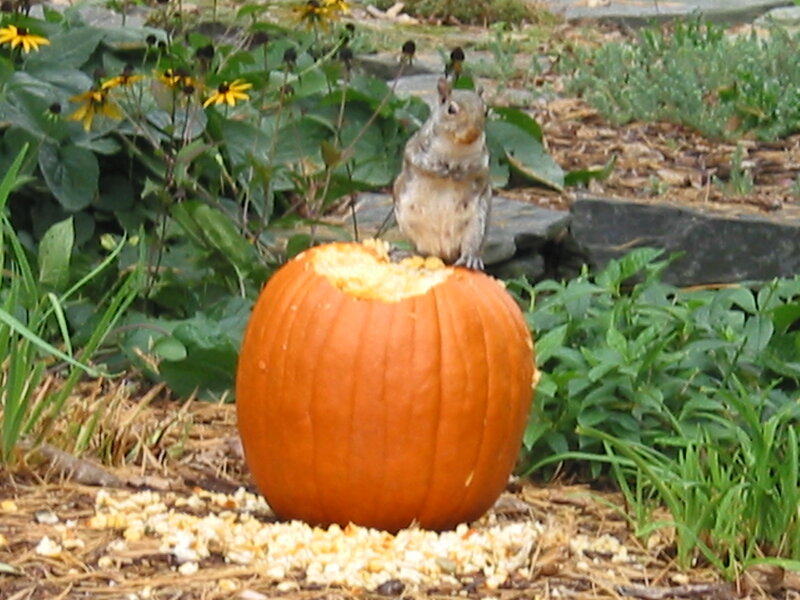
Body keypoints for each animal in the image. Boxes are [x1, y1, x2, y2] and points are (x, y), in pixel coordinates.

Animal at [393, 78, 491, 270]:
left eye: (485, 111)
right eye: (451, 110)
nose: (473, 132)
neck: (456, 150)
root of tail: (441, 253)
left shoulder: (483, 160)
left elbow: (478, 171)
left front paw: (460, 173)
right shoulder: (416, 148)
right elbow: (419, 162)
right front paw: (441, 170)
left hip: (477, 223)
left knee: (470, 243)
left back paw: (470, 257)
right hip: (407, 221)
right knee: (419, 250)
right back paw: (408, 254)